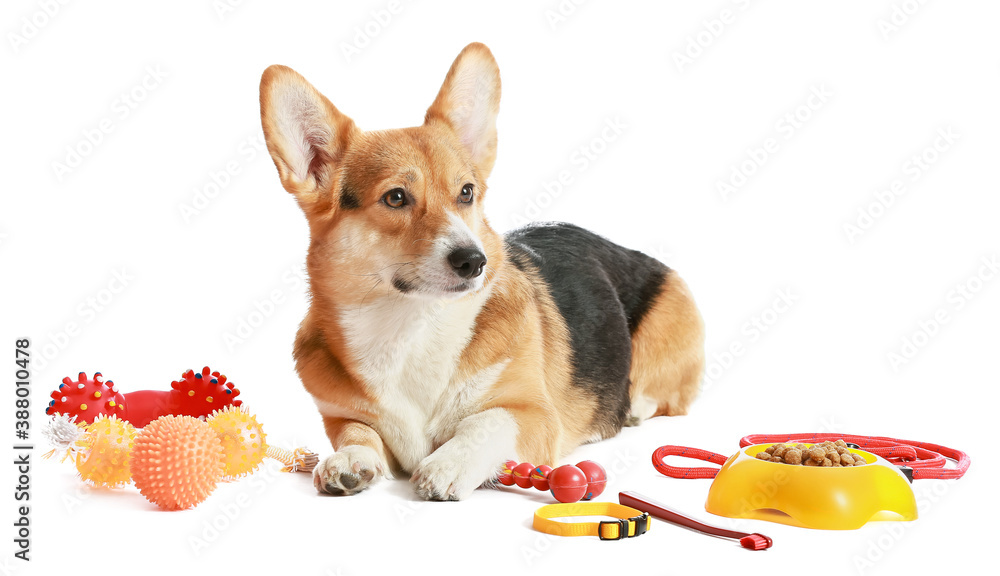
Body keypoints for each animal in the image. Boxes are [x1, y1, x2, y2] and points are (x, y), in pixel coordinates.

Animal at [262, 42, 708, 500]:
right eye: (396, 197)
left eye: (466, 192)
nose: (474, 261)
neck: (408, 326)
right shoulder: (339, 415)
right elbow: (357, 431)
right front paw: (351, 459)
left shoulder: (533, 414)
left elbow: (485, 422)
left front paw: (449, 463)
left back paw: (634, 407)